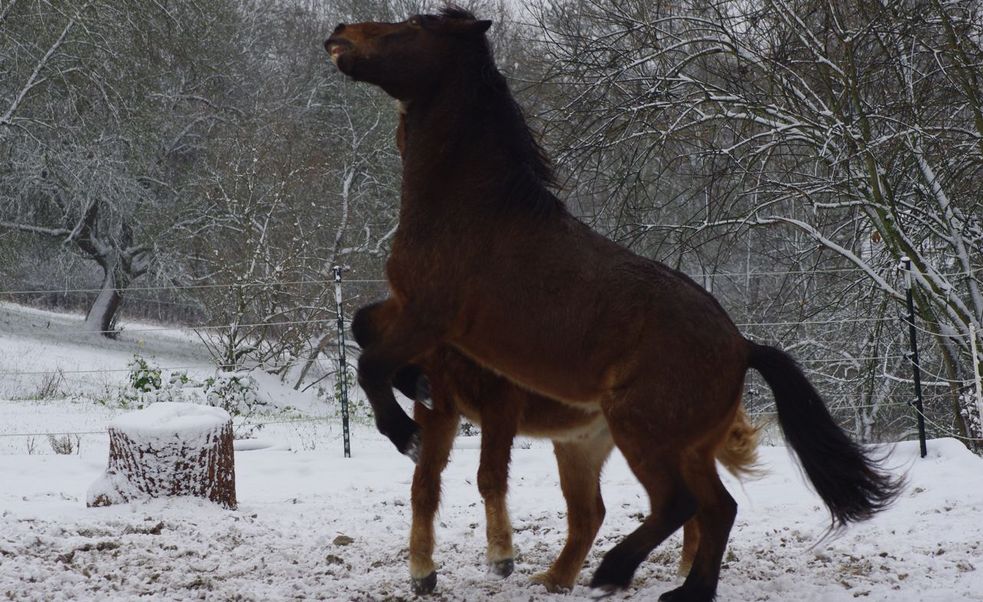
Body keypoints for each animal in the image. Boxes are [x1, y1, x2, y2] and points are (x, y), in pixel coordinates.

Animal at [352, 308, 760, 592]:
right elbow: (424, 488)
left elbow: (489, 476)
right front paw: (422, 572)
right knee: (593, 514)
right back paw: (559, 579)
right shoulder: (441, 410)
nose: (413, 382)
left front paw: (501, 556)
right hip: (579, 449)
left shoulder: (500, 404)